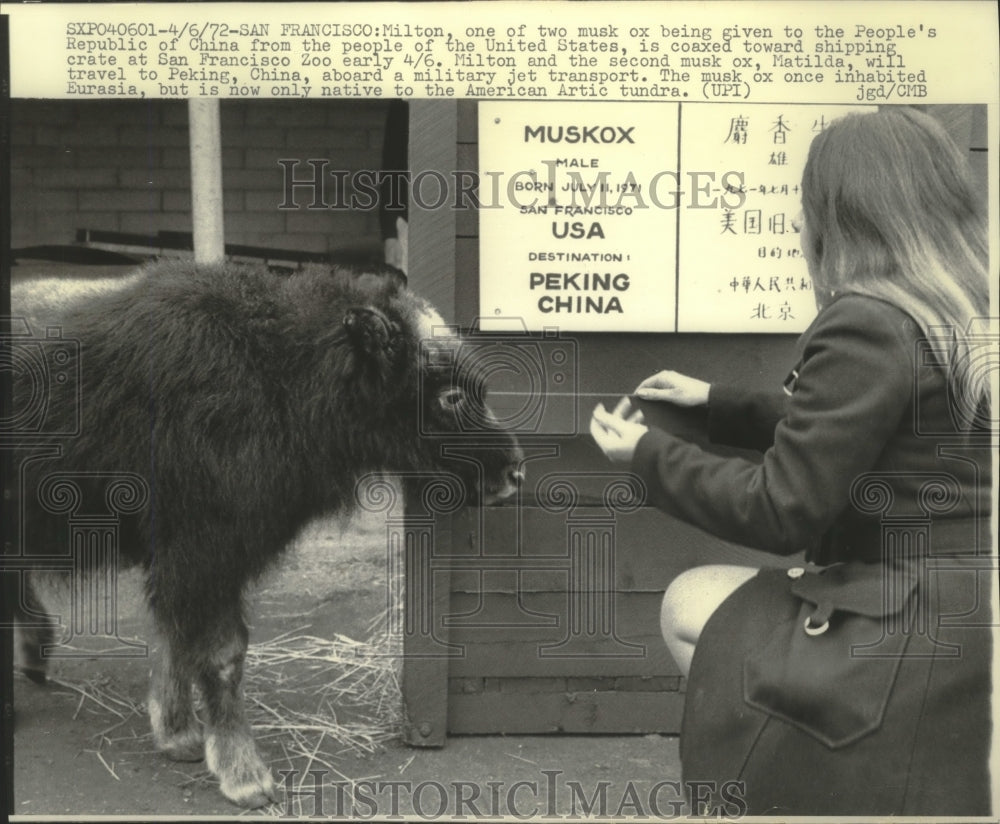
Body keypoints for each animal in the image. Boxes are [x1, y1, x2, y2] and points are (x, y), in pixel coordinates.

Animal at [11, 260, 528, 808]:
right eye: (449, 395)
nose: (515, 472)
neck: (280, 367)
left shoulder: (189, 559)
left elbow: (174, 639)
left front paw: (179, 738)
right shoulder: (204, 552)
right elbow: (220, 653)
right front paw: (246, 777)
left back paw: (37, 659)